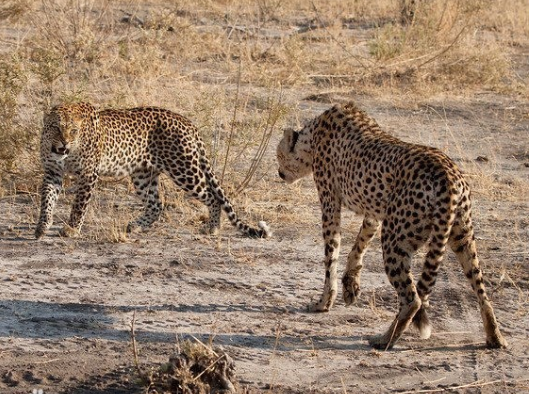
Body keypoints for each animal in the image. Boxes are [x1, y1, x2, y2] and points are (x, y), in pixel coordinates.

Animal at [35, 101, 274, 240]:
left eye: (73, 130)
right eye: (56, 128)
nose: (64, 143)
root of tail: (187, 121)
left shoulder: (88, 174)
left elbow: (79, 205)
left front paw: (71, 229)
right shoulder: (52, 173)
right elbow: (47, 200)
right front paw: (42, 227)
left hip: (184, 170)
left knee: (212, 196)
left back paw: (212, 228)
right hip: (143, 174)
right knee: (156, 204)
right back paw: (135, 226)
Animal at [278, 100, 508, 350]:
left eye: (279, 155)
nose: (279, 173)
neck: (312, 136)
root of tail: (447, 173)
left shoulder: (330, 202)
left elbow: (332, 254)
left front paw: (324, 302)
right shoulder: (375, 214)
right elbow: (359, 245)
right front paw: (351, 286)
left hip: (395, 241)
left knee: (412, 299)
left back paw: (384, 339)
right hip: (460, 235)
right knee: (481, 290)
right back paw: (495, 337)